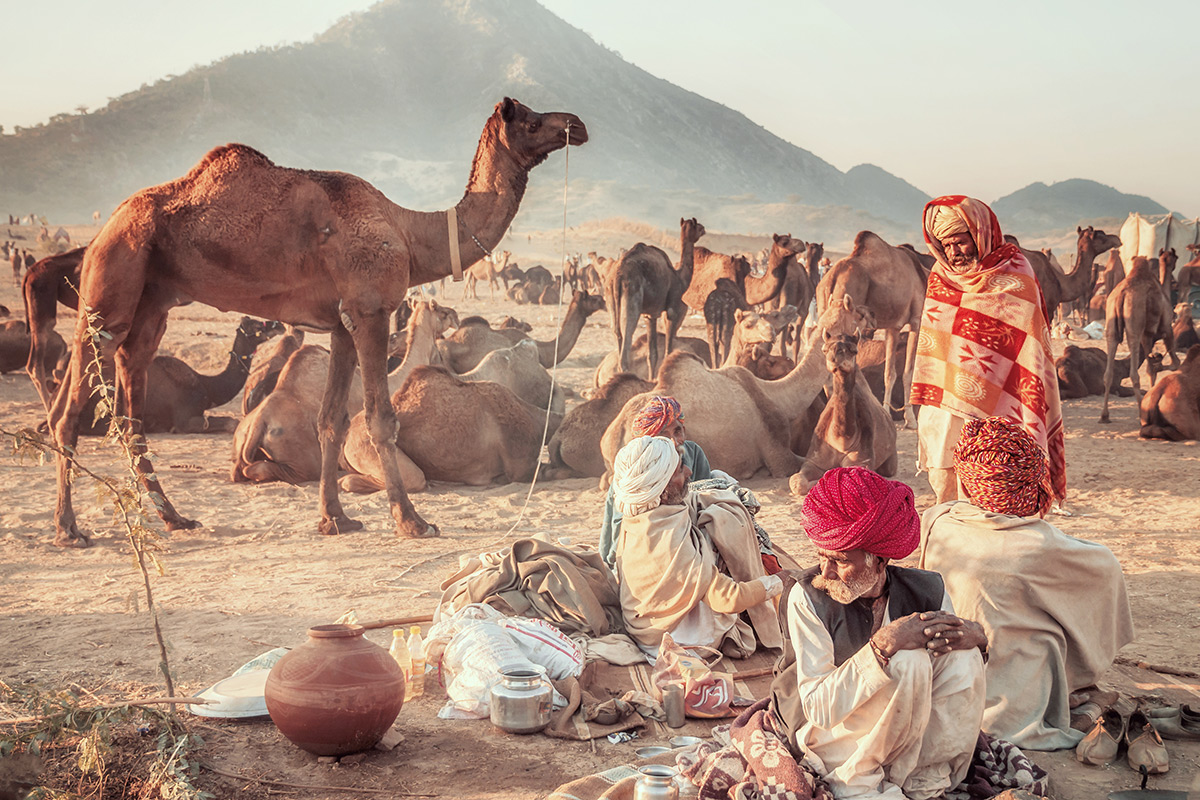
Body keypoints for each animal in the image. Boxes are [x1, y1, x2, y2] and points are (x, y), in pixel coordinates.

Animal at [47, 97, 586, 546]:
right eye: (532, 120)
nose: (576, 124)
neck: (411, 234)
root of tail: (105, 227)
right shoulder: (371, 311)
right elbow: (379, 419)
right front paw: (413, 521)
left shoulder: (342, 323)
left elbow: (331, 419)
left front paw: (335, 519)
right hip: (110, 286)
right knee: (68, 411)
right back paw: (69, 530)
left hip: (152, 305)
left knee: (130, 408)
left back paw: (174, 518)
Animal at [607, 218, 705, 380]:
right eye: (697, 226)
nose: (703, 229)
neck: (679, 277)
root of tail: (618, 276)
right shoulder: (672, 309)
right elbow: (668, 350)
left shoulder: (650, 314)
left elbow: (652, 354)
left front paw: (652, 379)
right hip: (632, 293)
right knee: (627, 333)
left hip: (609, 296)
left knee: (617, 332)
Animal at [789, 332, 897, 496]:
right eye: (825, 349)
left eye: (854, 350)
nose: (835, 358)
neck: (841, 440)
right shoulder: (814, 460)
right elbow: (797, 482)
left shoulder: (861, 461)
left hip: (891, 457)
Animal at [816, 231, 926, 427]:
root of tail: (831, 278)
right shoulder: (916, 320)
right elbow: (908, 372)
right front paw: (911, 419)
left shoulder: (893, 326)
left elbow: (889, 373)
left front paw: (886, 413)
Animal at [1100, 256, 1180, 423]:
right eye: (1174, 258)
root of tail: (1122, 295)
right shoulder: (1165, 329)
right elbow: (1173, 363)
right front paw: (1158, 362)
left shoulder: (1148, 335)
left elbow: (1151, 369)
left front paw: (1156, 360)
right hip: (1134, 326)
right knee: (1134, 373)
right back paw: (1141, 412)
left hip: (1111, 325)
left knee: (1108, 372)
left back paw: (1104, 416)